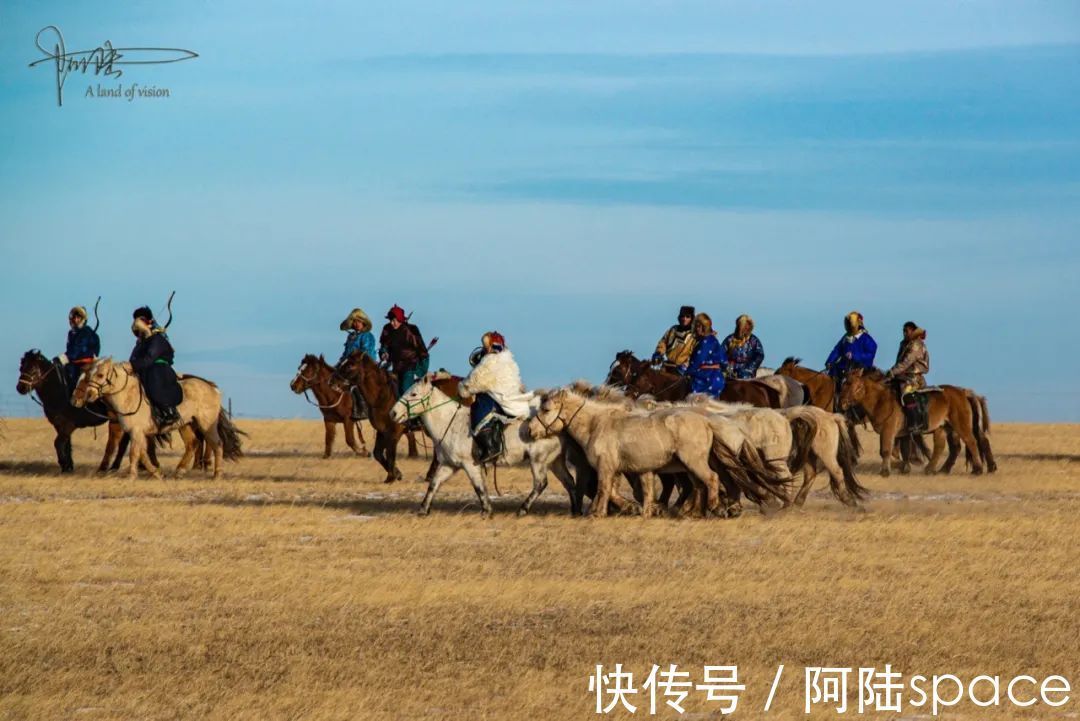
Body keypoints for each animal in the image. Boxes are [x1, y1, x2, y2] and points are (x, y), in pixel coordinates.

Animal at [15, 347, 156, 472]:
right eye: (21, 367)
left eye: (33, 369)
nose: (20, 388)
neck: (60, 391)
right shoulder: (59, 425)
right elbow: (66, 444)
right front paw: (68, 466)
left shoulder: (69, 425)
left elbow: (58, 443)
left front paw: (64, 464)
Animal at [74, 358, 245, 479]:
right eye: (88, 375)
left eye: (100, 375)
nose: (86, 396)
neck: (128, 396)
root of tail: (211, 387)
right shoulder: (137, 433)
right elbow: (143, 453)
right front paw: (157, 473)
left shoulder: (136, 432)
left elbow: (134, 453)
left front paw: (131, 476)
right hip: (186, 425)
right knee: (192, 444)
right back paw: (179, 471)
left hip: (206, 424)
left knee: (216, 444)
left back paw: (217, 474)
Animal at [386, 371, 574, 518]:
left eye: (413, 394)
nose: (392, 413)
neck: (450, 422)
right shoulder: (449, 465)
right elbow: (434, 485)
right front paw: (423, 510)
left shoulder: (470, 465)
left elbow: (479, 487)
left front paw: (486, 511)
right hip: (554, 461)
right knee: (569, 481)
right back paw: (575, 510)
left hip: (538, 460)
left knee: (540, 484)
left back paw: (522, 509)